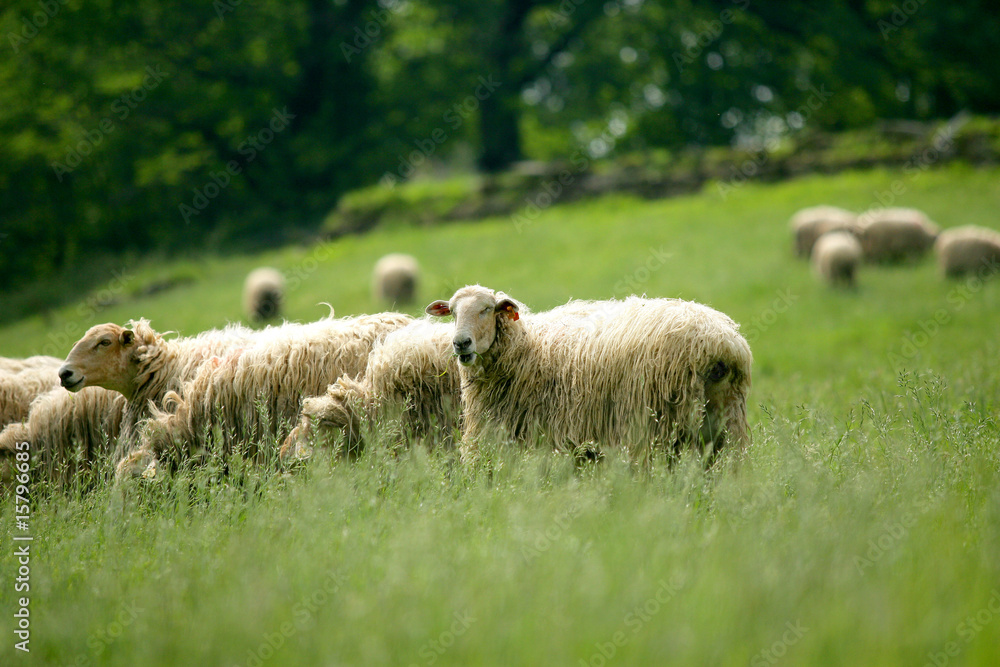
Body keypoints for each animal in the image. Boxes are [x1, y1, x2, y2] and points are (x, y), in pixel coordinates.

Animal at [425, 285, 753, 464]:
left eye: (487, 309)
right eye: (452, 312)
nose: (461, 343)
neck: (527, 348)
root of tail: (721, 343)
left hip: (656, 425)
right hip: (727, 423)